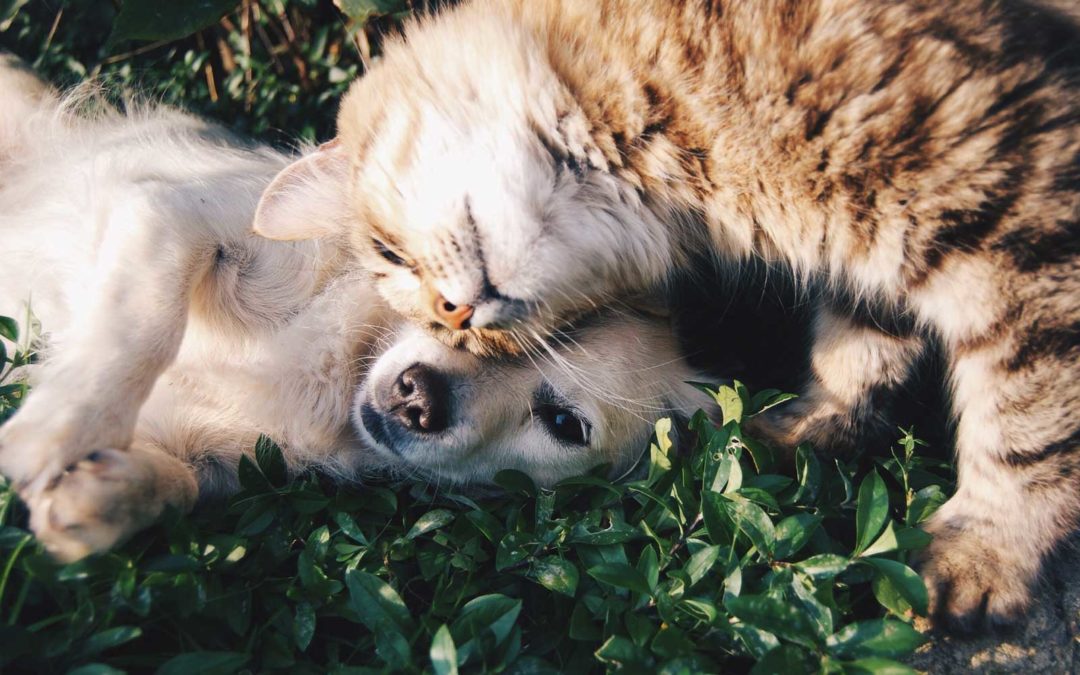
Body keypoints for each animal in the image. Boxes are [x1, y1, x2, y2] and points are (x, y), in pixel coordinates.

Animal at [0, 57, 708, 561]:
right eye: (455, 308)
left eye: (564, 424)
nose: (417, 397)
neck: (338, 370)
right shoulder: (171, 216)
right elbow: (142, 329)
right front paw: (55, 431)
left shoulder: (218, 455)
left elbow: (180, 484)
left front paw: (100, 499)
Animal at [252, 0, 1080, 630]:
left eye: (389, 253)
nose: (456, 316)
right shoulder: (878, 252)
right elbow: (859, 348)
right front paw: (809, 428)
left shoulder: (1018, 217)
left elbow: (1027, 425)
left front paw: (987, 550)